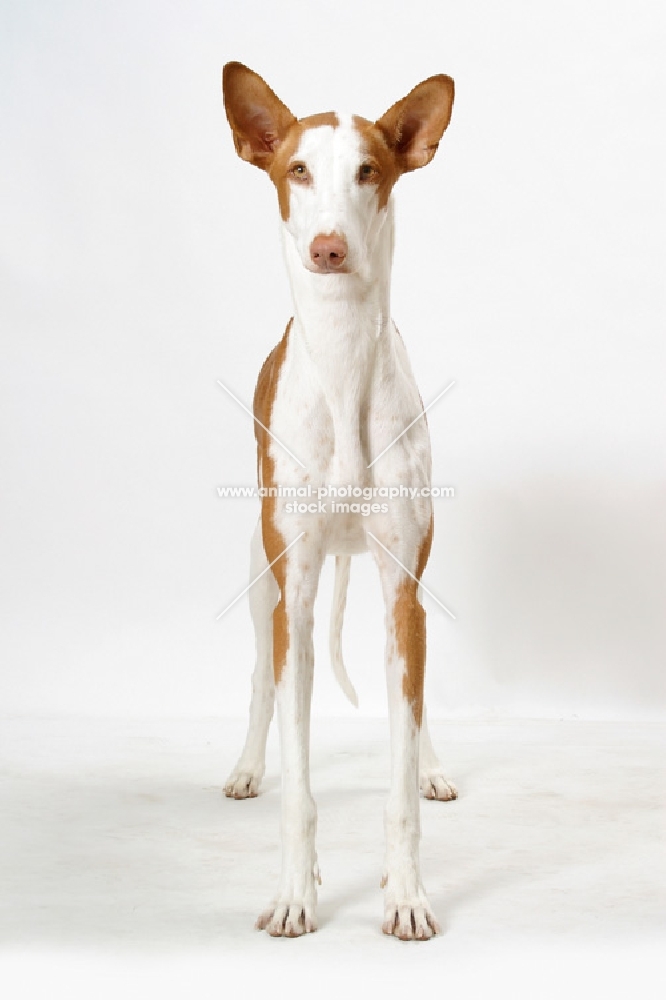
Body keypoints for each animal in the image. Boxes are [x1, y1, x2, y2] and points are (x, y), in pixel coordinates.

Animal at [220, 60, 454, 936]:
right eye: (296, 170)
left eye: (369, 172)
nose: (329, 247)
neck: (347, 356)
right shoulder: (296, 593)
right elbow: (299, 778)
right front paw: (296, 890)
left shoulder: (403, 592)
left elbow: (398, 777)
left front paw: (407, 894)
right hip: (265, 583)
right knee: (260, 680)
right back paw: (247, 768)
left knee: (414, 703)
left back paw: (432, 764)